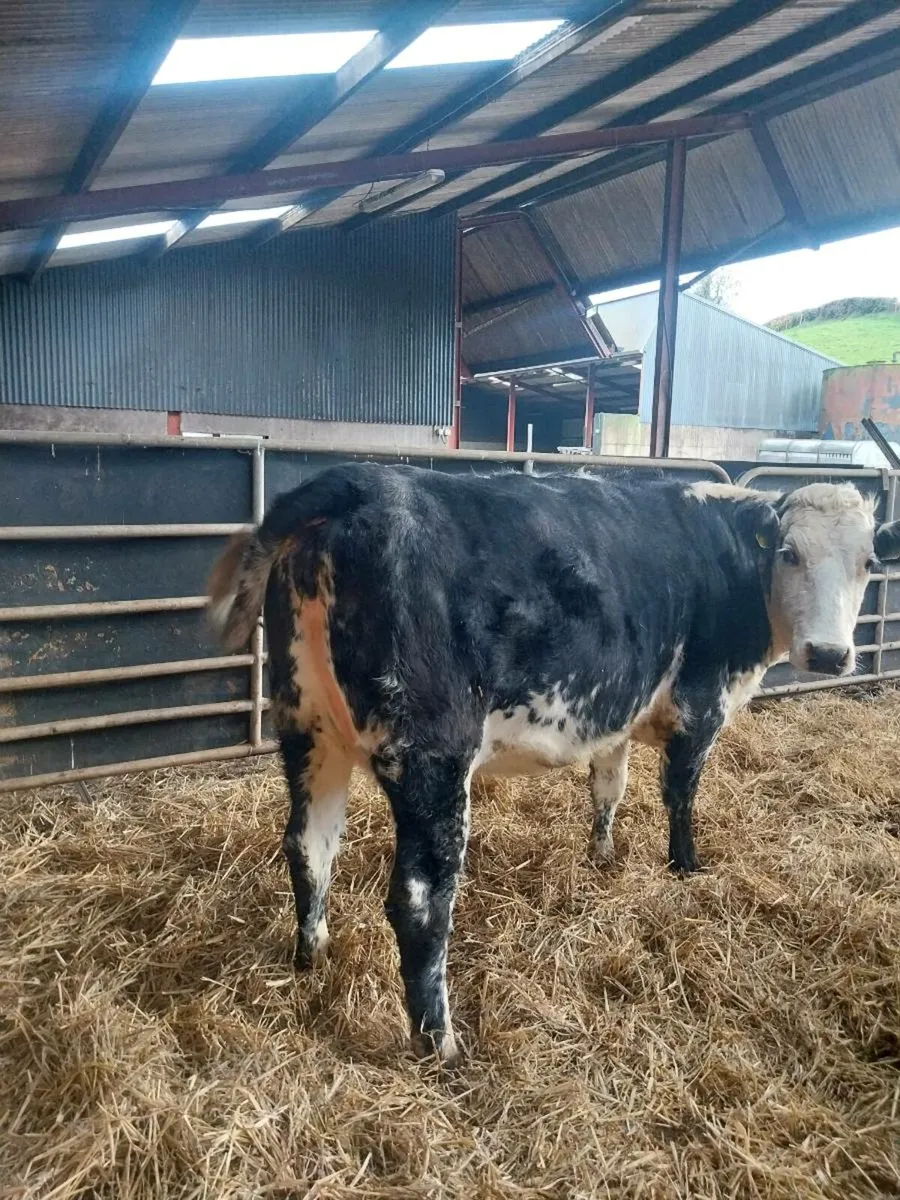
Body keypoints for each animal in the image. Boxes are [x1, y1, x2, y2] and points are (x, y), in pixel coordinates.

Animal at [207, 464, 900, 1063]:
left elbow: (610, 786)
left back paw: (313, 957)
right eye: (789, 553)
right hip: (432, 756)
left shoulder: (615, 710)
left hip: (307, 730)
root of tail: (357, 480)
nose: (831, 655)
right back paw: (441, 1044)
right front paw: (685, 869)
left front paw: (603, 856)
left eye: (869, 563)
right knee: (420, 899)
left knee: (310, 846)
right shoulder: (699, 704)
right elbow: (680, 795)